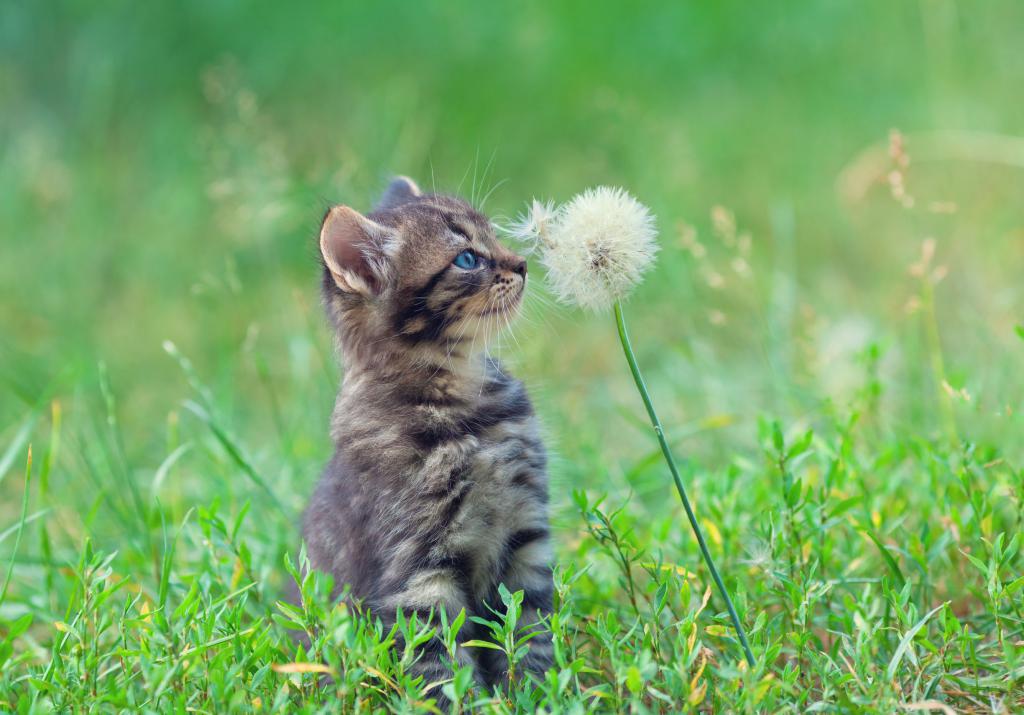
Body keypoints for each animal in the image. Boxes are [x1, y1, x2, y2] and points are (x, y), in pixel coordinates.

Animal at [301, 177, 552, 696]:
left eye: (494, 235)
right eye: (467, 259)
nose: (522, 263)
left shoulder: (526, 538)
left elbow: (529, 635)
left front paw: (539, 697)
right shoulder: (418, 570)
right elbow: (443, 668)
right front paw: (476, 703)